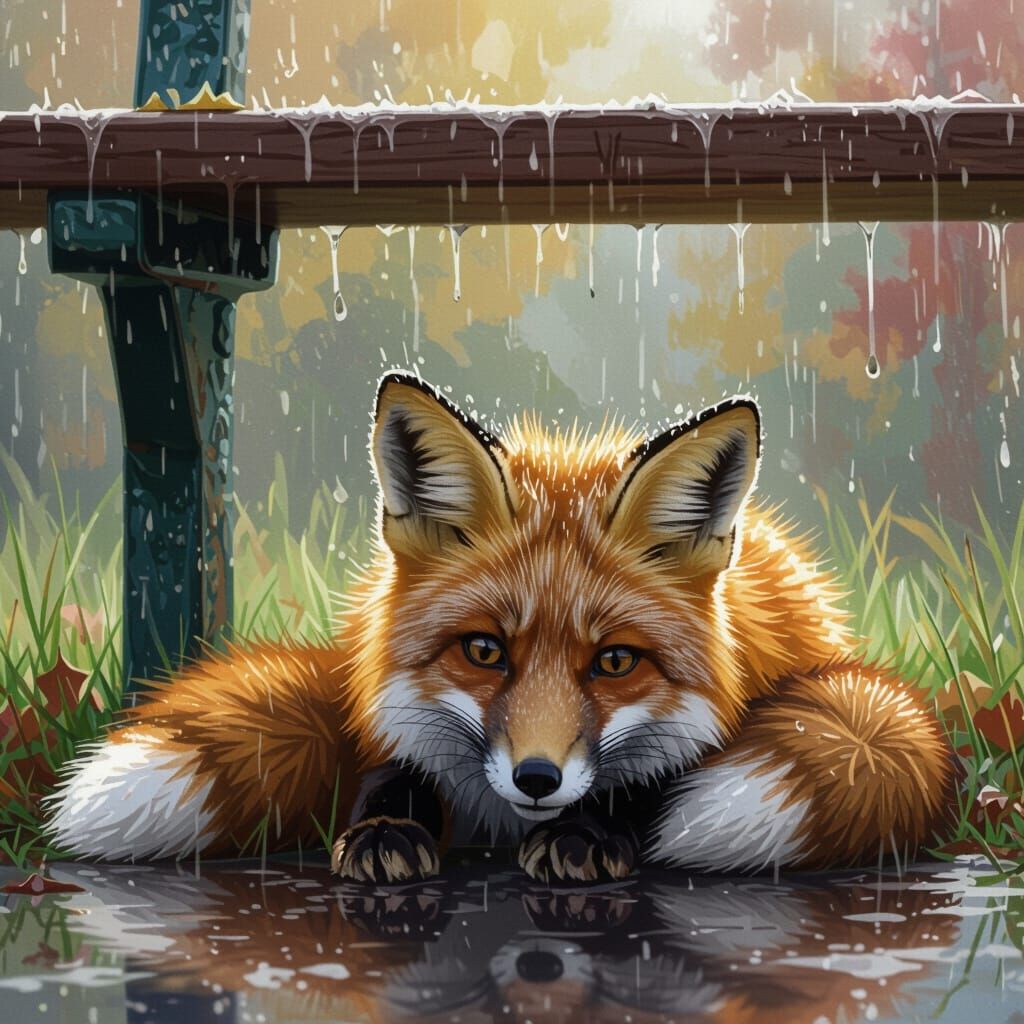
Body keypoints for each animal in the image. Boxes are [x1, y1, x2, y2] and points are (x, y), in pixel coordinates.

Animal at [47, 372, 954, 883]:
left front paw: (594, 832)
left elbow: (651, 778)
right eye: (484, 651)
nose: (538, 779)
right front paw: (385, 828)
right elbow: (394, 773)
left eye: (615, 662)